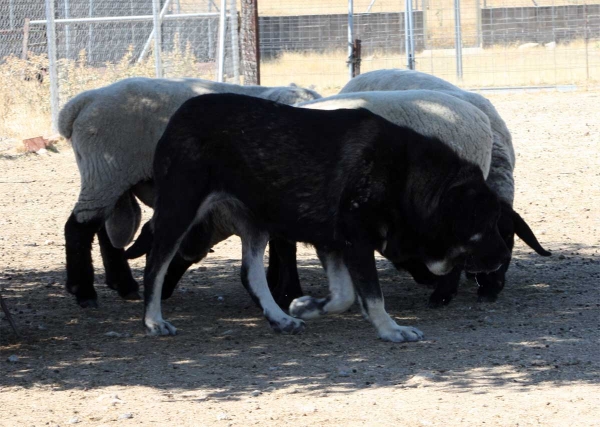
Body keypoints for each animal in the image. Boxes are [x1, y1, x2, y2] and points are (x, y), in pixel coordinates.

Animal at [59, 76, 324, 308]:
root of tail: (84, 101)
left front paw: (275, 285)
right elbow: (284, 245)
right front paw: (285, 292)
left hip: (111, 176)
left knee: (104, 228)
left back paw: (123, 285)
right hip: (106, 171)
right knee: (79, 228)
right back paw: (83, 292)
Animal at [138, 93, 508, 342]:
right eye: (488, 224)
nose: (504, 256)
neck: (408, 177)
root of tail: (182, 111)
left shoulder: (334, 244)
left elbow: (344, 297)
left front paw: (307, 306)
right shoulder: (355, 240)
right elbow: (372, 296)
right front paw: (391, 329)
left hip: (255, 222)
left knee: (251, 275)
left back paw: (279, 318)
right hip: (180, 209)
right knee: (155, 265)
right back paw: (153, 321)